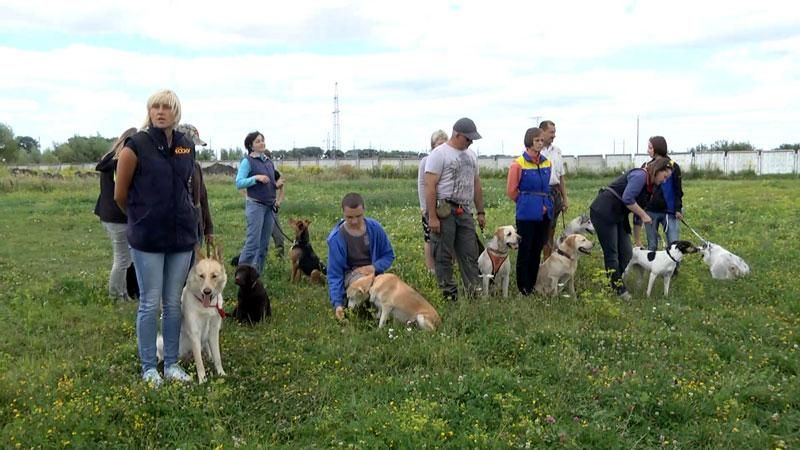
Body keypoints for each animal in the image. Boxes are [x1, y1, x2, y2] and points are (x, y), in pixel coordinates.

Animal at [157, 244, 227, 382]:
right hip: (162, 342)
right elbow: (199, 362)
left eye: (214, 276)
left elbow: (217, 356)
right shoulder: (194, 333)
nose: (206, 291)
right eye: (201, 276)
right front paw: (202, 380)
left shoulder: (214, 331)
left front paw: (221, 373)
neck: (205, 306)